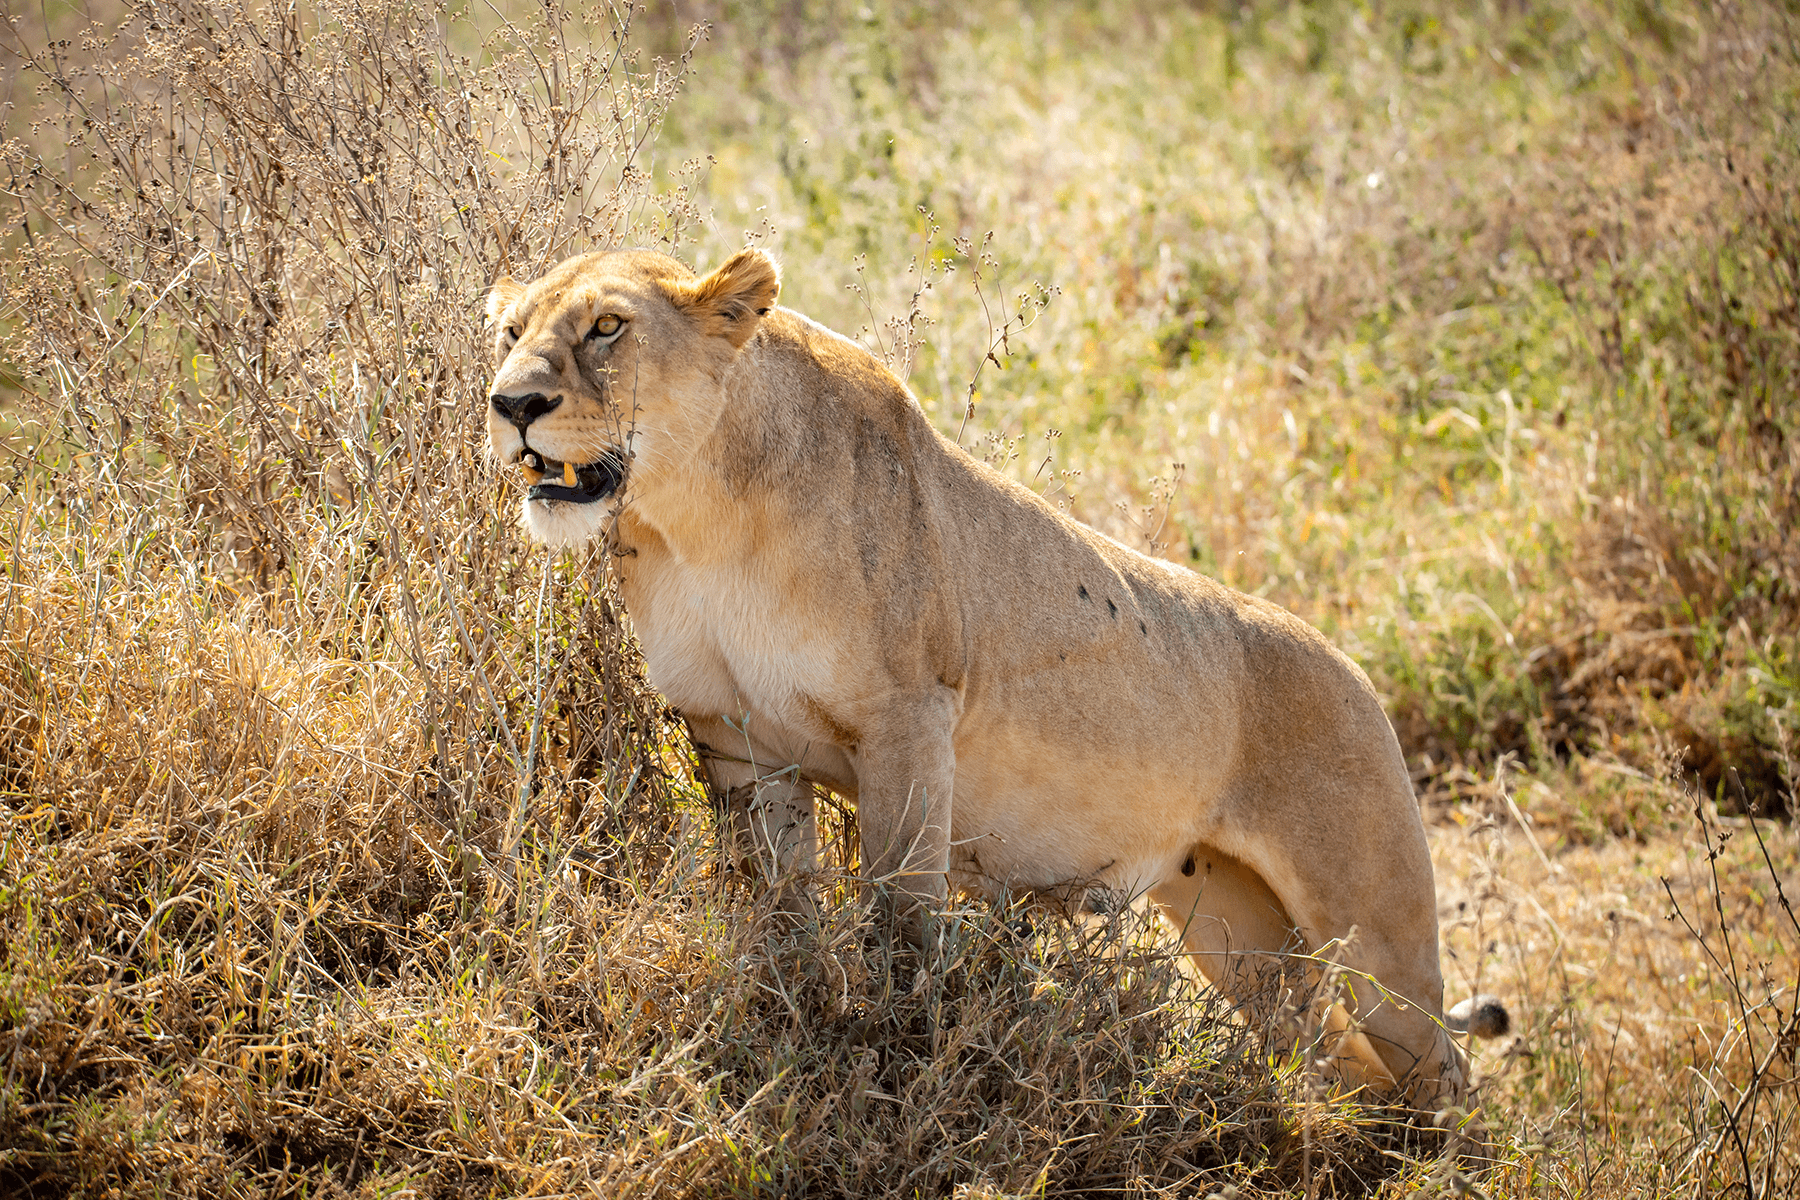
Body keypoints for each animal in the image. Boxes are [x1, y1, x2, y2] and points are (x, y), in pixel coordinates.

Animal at [483, 246, 1509, 1110]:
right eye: (510, 331)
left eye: (607, 326)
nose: (510, 405)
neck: (695, 517)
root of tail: (1358, 675)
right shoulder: (733, 734)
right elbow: (778, 908)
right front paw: (794, 1016)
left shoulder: (909, 717)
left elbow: (901, 915)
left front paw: (893, 1052)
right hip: (1235, 929)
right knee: (1326, 1053)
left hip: (1375, 929)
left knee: (1446, 1073)